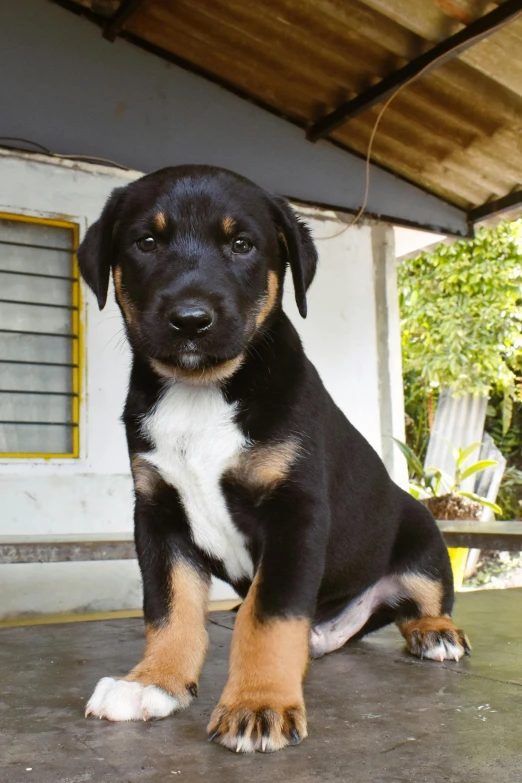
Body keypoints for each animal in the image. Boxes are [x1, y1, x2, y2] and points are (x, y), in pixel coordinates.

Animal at [78, 165, 468, 752]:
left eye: (242, 245)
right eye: (146, 242)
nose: (189, 319)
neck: (202, 391)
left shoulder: (295, 512)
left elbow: (269, 616)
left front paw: (258, 704)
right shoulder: (157, 513)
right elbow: (170, 608)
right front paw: (153, 682)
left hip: (422, 535)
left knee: (424, 600)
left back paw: (435, 633)